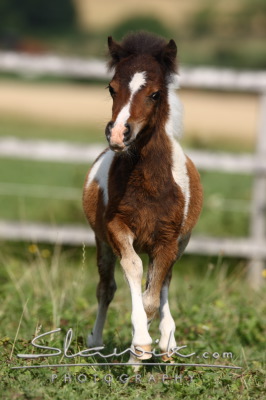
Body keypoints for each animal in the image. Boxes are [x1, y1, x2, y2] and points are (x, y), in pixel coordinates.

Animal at [82, 32, 203, 362]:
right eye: (112, 89)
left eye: (156, 94)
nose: (118, 135)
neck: (148, 184)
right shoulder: (116, 229)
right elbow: (133, 272)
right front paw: (140, 347)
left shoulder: (168, 240)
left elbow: (153, 295)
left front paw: (145, 347)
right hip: (102, 243)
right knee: (106, 288)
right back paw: (96, 342)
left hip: (179, 244)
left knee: (164, 285)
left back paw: (168, 342)